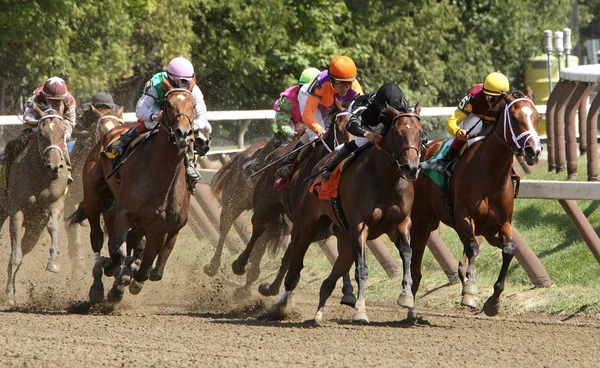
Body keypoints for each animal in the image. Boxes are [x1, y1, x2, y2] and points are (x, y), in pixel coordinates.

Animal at [77, 76, 197, 304]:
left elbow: (143, 268)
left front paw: (125, 282)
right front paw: (113, 271)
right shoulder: (124, 213)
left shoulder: (160, 227)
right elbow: (118, 253)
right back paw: (97, 284)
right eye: (168, 105)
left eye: (193, 105)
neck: (158, 175)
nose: (183, 133)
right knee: (97, 238)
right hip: (93, 198)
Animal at [268, 104, 426, 322]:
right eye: (397, 132)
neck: (385, 179)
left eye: (420, 132)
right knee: (295, 266)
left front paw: (407, 299)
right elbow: (362, 268)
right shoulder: (360, 225)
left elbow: (408, 255)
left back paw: (319, 311)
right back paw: (279, 307)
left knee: (331, 275)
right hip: (306, 226)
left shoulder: (400, 224)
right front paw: (361, 310)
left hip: (343, 233)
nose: (410, 168)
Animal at [408, 90, 544, 320]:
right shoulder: (464, 216)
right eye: (514, 117)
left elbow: (509, 249)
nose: (533, 151)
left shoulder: (501, 224)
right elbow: (472, 248)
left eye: (536, 116)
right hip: (423, 220)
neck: (491, 173)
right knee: (416, 255)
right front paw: (470, 291)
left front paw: (493, 302)